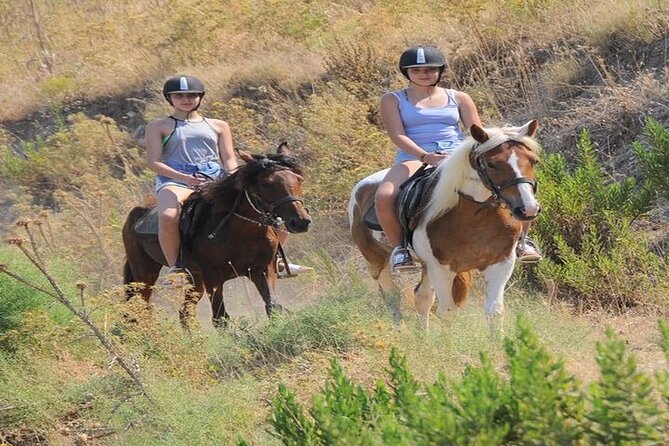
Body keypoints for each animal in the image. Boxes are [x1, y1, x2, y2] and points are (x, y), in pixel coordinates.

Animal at [122, 147, 310, 328]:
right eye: (266, 183)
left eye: (299, 179)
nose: (300, 222)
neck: (242, 233)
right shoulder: (213, 278)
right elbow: (220, 318)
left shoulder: (262, 270)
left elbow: (272, 306)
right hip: (145, 274)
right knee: (140, 310)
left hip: (195, 278)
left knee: (185, 313)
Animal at [348, 120, 540, 330]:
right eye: (492, 164)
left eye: (533, 161)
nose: (528, 209)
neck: (476, 216)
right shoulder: (441, 269)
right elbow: (448, 313)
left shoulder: (501, 263)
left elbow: (494, 312)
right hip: (377, 260)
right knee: (393, 296)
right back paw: (401, 330)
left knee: (422, 298)